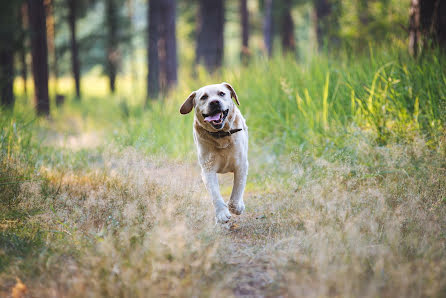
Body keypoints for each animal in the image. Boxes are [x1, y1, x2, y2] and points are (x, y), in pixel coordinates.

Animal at [180, 82, 249, 222]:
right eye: (204, 97)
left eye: (221, 93)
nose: (215, 102)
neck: (221, 136)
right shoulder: (208, 169)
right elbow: (215, 194)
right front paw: (222, 214)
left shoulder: (241, 165)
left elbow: (237, 189)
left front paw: (236, 207)